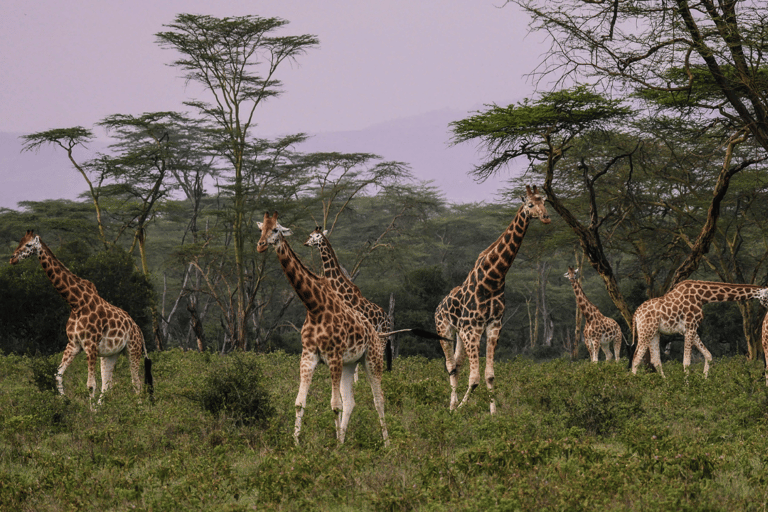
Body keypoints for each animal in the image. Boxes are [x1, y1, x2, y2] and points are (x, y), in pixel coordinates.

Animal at [9, 231, 152, 407]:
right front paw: (66, 402)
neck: (75, 303)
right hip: (111, 354)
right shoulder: (73, 344)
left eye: (28, 245)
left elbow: (91, 384)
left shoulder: (90, 344)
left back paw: (139, 409)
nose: (12, 258)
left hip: (133, 349)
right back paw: (102, 410)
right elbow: (58, 376)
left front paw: (90, 412)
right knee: (108, 385)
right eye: (20, 242)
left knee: (136, 382)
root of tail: (139, 330)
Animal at [434, 185, 551, 413]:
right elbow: (475, 378)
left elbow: (489, 375)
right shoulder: (473, 328)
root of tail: (438, 306)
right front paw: (460, 409)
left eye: (544, 201)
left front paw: (493, 414)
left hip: (460, 333)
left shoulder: (493, 325)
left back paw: (453, 405)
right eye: (529, 204)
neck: (493, 279)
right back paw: (451, 407)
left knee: (457, 366)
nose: (546, 217)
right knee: (450, 366)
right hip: (445, 330)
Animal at [631, 280, 768, 377]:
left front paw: (704, 381)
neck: (703, 297)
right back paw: (632, 386)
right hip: (646, 331)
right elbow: (687, 362)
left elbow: (708, 355)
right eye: (767, 296)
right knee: (636, 358)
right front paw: (687, 390)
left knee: (655, 360)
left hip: (655, 332)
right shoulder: (690, 327)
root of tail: (635, 315)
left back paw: (666, 385)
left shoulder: (690, 329)